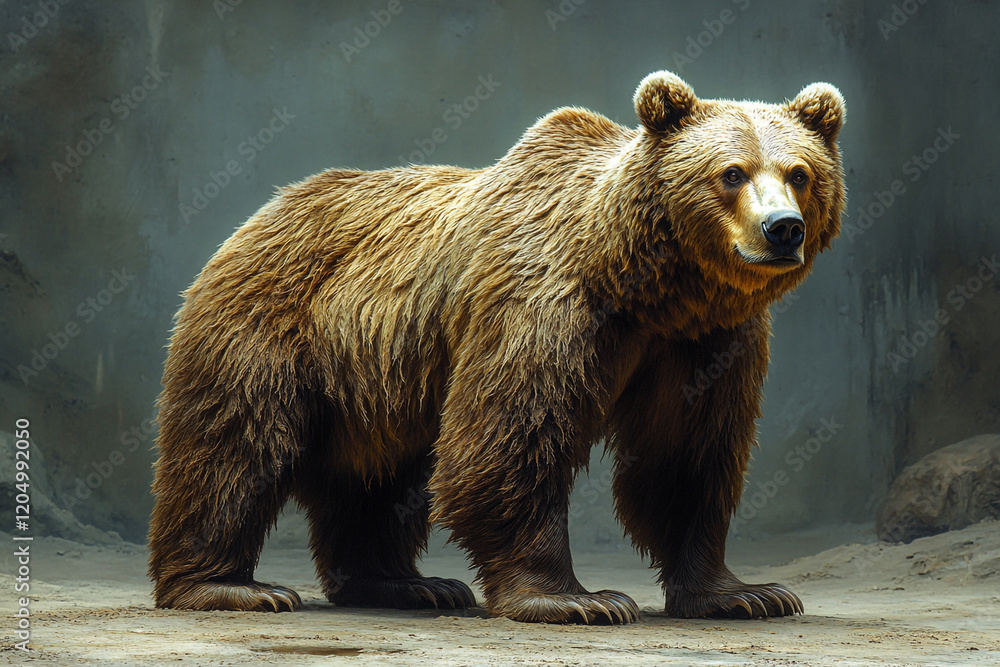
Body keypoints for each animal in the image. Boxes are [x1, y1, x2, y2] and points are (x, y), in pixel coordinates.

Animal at [148, 70, 845, 624]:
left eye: (800, 173)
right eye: (731, 173)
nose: (782, 229)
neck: (643, 285)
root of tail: (259, 214)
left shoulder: (705, 343)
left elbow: (687, 455)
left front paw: (745, 593)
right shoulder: (542, 303)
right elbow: (512, 436)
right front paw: (575, 599)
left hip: (380, 377)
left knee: (378, 476)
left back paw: (407, 584)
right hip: (272, 330)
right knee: (234, 449)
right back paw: (229, 587)